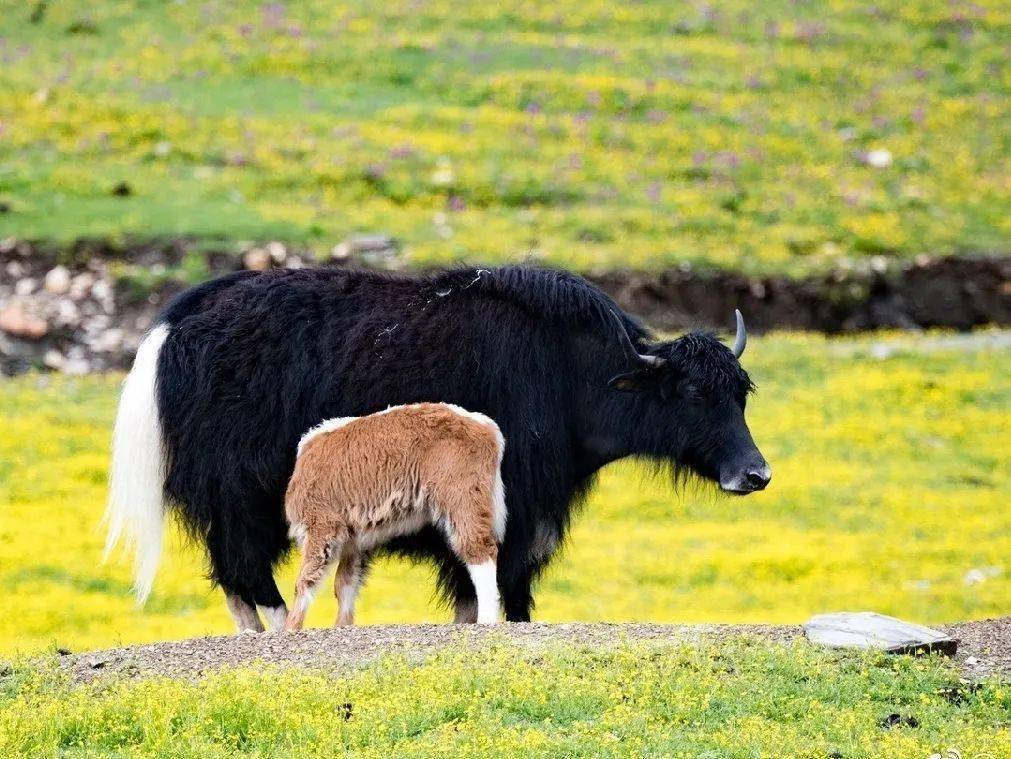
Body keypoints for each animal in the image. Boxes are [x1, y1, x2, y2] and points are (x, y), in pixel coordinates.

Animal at [283, 404, 505, 630]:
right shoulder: (354, 541)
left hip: (461, 500)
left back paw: (487, 620)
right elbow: (345, 584)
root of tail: (485, 426)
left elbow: (304, 581)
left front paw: (290, 628)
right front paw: (343, 626)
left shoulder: (321, 526)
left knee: (479, 550)